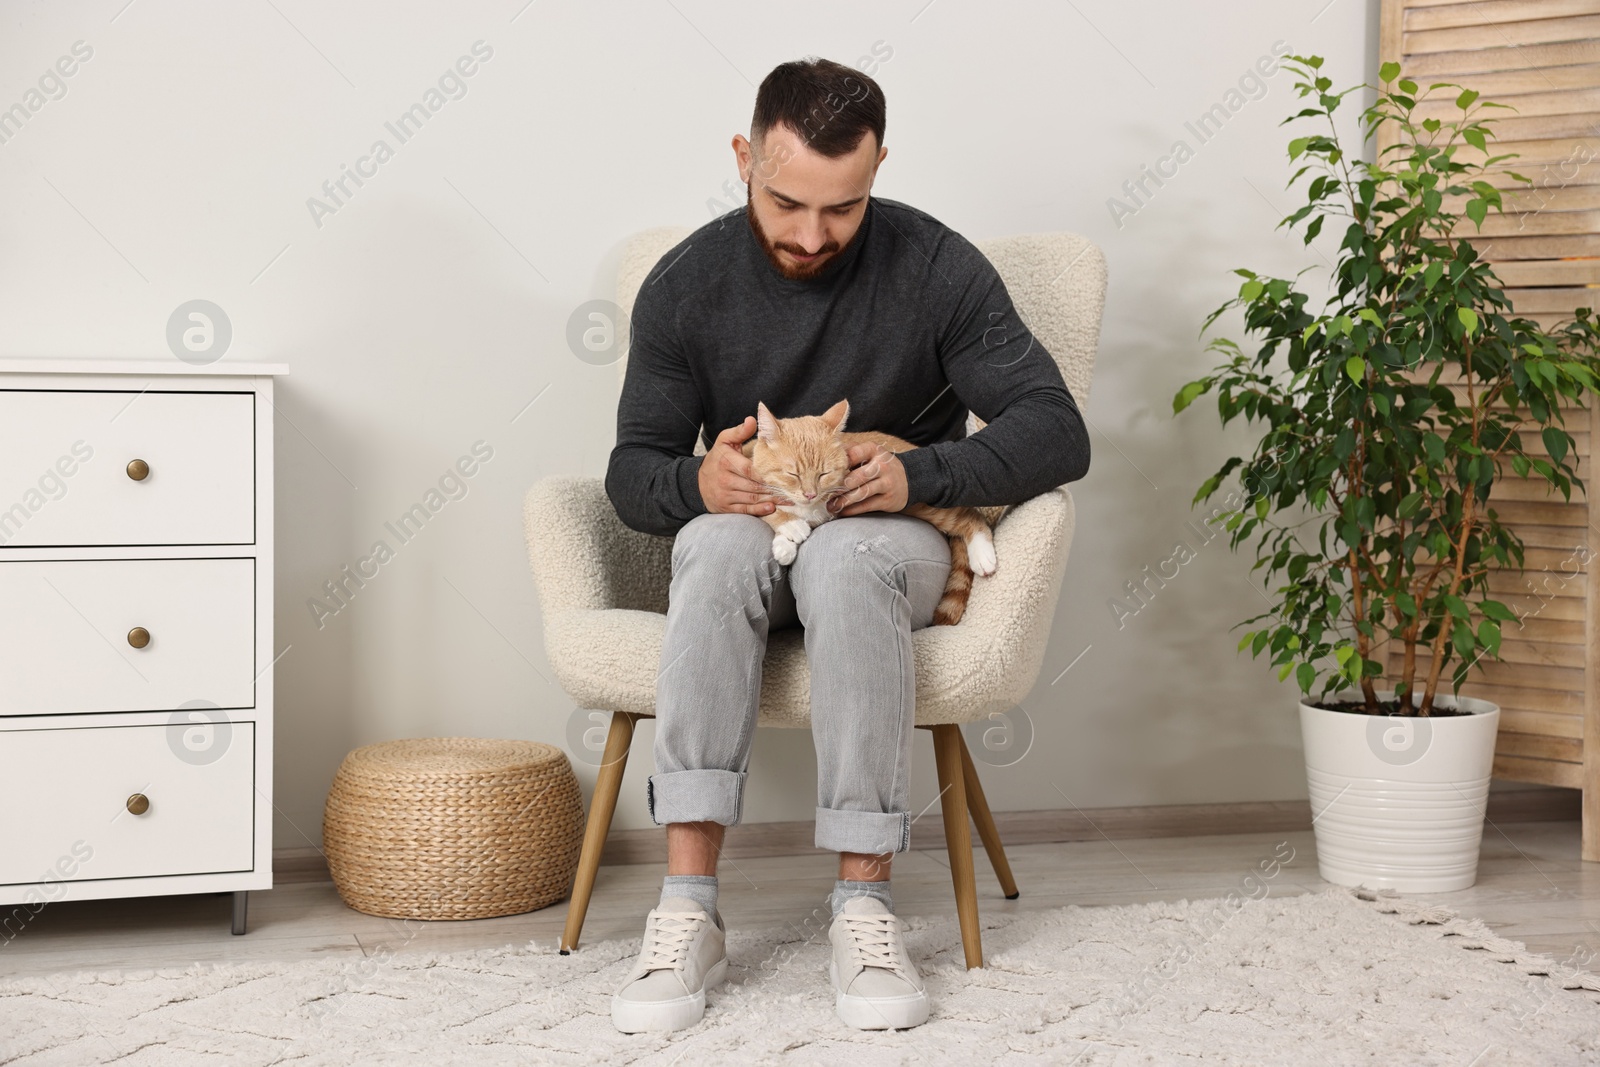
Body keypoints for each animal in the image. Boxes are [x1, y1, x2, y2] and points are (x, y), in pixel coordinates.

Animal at [739, 399, 992, 627]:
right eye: (793, 474)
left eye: (823, 474)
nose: (810, 494)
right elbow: (768, 508)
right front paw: (785, 540)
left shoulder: (830, 507)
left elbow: (806, 518)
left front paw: (792, 527)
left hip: (921, 505)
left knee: (971, 516)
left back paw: (983, 555)